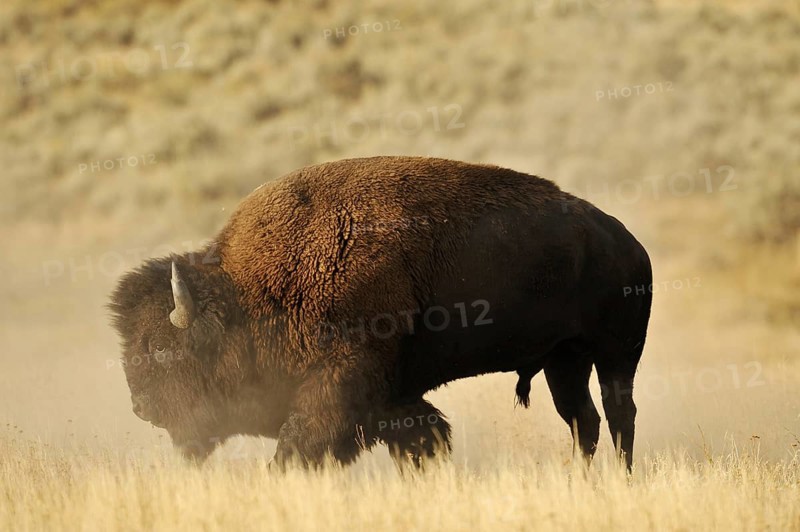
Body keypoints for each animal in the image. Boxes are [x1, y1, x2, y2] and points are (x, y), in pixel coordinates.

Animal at [109, 156, 652, 471]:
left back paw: (622, 478)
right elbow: (420, 435)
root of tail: (626, 240)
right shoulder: (392, 396)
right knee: (583, 420)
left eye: (162, 349)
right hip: (565, 360)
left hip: (616, 354)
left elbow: (297, 444)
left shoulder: (338, 381)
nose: (140, 407)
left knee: (619, 414)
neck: (252, 296)